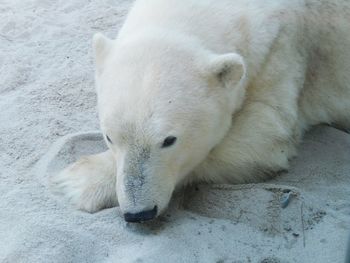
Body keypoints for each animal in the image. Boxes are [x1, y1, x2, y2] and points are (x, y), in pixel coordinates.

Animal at [53, 0, 350, 223]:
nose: (139, 214)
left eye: (169, 140)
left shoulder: (285, 53)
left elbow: (262, 138)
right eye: (109, 137)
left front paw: (81, 182)